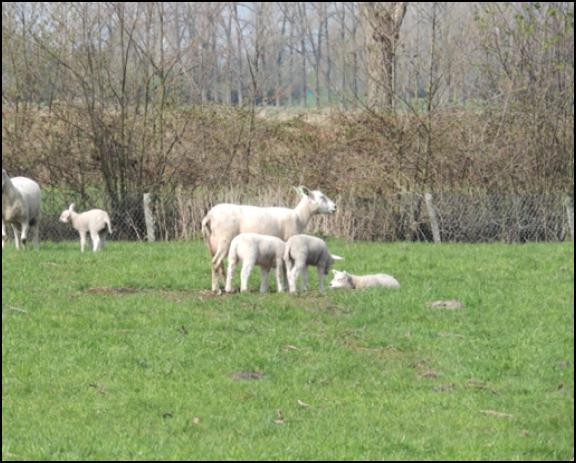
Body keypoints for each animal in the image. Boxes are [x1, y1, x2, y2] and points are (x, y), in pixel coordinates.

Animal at [204, 186, 336, 292]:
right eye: (322, 197)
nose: (335, 207)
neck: (299, 217)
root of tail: (209, 215)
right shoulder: (288, 242)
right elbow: (285, 268)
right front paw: (287, 287)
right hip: (224, 239)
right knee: (216, 262)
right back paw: (217, 289)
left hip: (212, 243)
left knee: (220, 264)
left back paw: (227, 287)